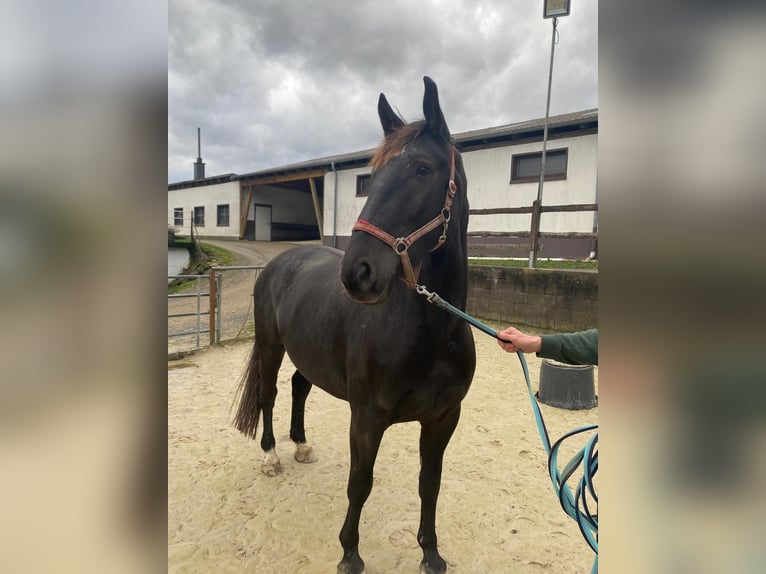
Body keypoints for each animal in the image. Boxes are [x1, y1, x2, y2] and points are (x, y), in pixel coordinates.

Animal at [236, 76, 474, 574]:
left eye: (422, 169)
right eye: (373, 175)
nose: (358, 273)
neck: (432, 334)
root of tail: (281, 262)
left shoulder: (444, 418)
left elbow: (430, 483)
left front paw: (430, 553)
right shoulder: (366, 419)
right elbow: (360, 483)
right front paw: (349, 554)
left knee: (298, 387)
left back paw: (301, 445)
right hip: (269, 344)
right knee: (269, 393)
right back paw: (271, 456)